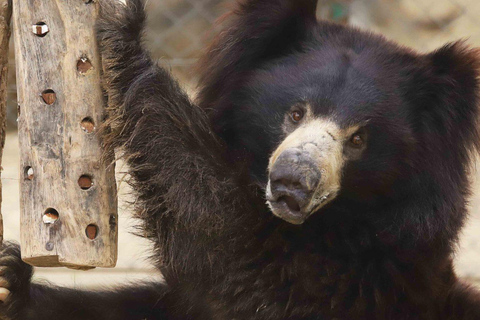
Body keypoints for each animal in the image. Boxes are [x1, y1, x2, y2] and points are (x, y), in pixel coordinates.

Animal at [0, 0, 480, 318]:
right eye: (295, 112)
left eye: (359, 138)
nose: (293, 184)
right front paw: (11, 279)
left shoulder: (357, 274)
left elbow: (230, 250)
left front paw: (124, 32)